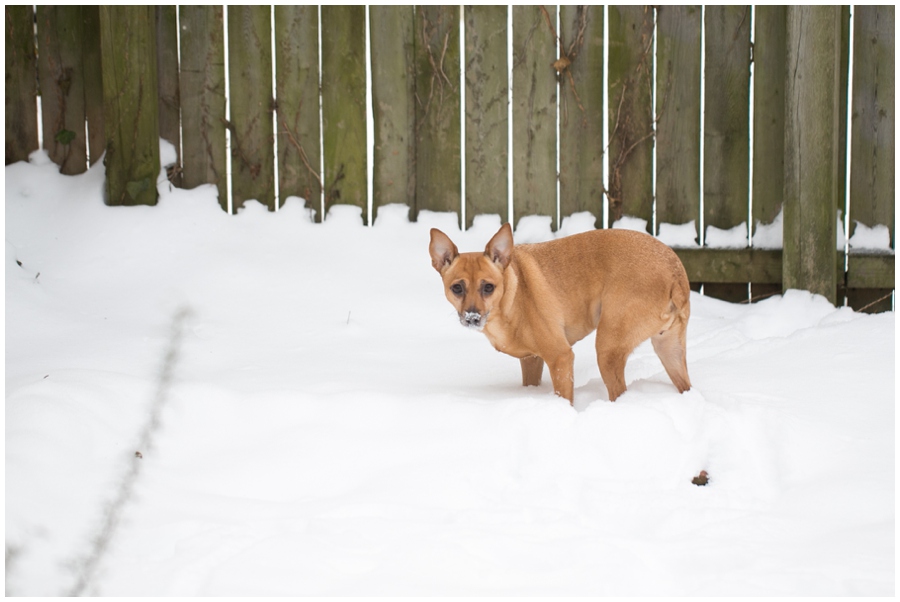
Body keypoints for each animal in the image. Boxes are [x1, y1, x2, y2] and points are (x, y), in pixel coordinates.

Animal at [428, 221, 688, 404]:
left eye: (488, 287)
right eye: (457, 288)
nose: (472, 317)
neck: (512, 295)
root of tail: (674, 272)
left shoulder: (560, 357)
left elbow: (564, 397)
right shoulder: (531, 360)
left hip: (608, 349)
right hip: (670, 351)